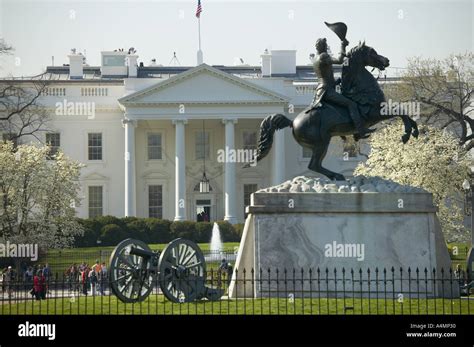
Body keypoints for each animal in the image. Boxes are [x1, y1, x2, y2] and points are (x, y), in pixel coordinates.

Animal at [252, 42, 418, 181]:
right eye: (372, 52)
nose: (386, 60)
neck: (360, 89)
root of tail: (292, 122)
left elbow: (405, 113)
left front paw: (415, 131)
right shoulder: (374, 113)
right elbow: (401, 111)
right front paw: (406, 134)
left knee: (315, 165)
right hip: (322, 142)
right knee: (313, 165)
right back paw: (337, 176)